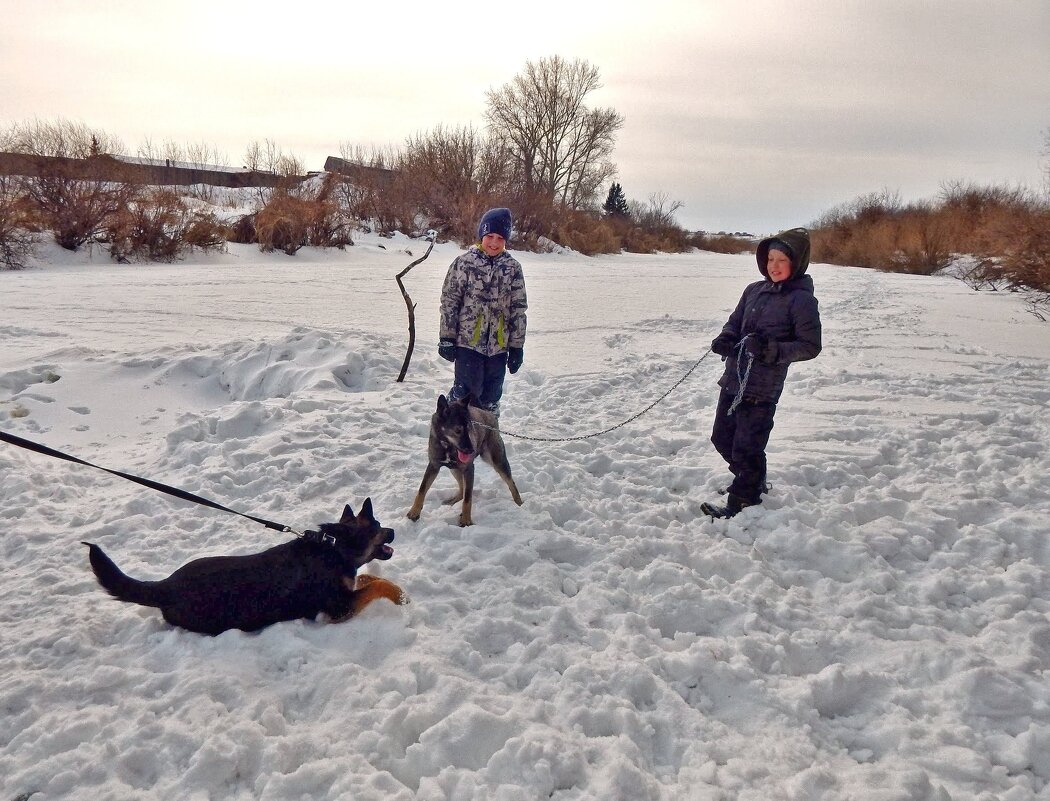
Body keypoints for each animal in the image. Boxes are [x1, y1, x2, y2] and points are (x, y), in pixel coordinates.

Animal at [409, 392, 525, 527]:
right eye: (458, 430)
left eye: (469, 428)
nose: (471, 450)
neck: (448, 447)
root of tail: (488, 414)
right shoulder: (433, 466)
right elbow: (422, 490)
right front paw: (414, 512)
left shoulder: (469, 469)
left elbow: (468, 497)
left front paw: (466, 520)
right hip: (455, 470)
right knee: (461, 487)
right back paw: (454, 500)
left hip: (497, 462)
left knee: (511, 482)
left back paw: (519, 504)